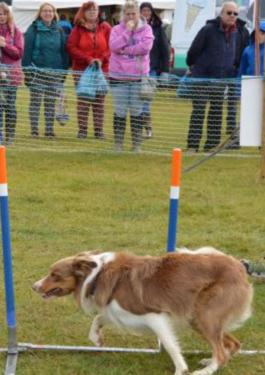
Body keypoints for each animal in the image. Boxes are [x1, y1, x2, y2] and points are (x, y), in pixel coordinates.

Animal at [32, 248, 252, 374]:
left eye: (55, 275)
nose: (33, 287)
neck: (95, 275)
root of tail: (238, 266)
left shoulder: (154, 316)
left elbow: (171, 346)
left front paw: (181, 370)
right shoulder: (120, 311)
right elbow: (99, 318)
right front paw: (96, 339)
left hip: (204, 316)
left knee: (221, 352)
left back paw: (206, 370)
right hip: (198, 319)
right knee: (233, 344)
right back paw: (209, 361)